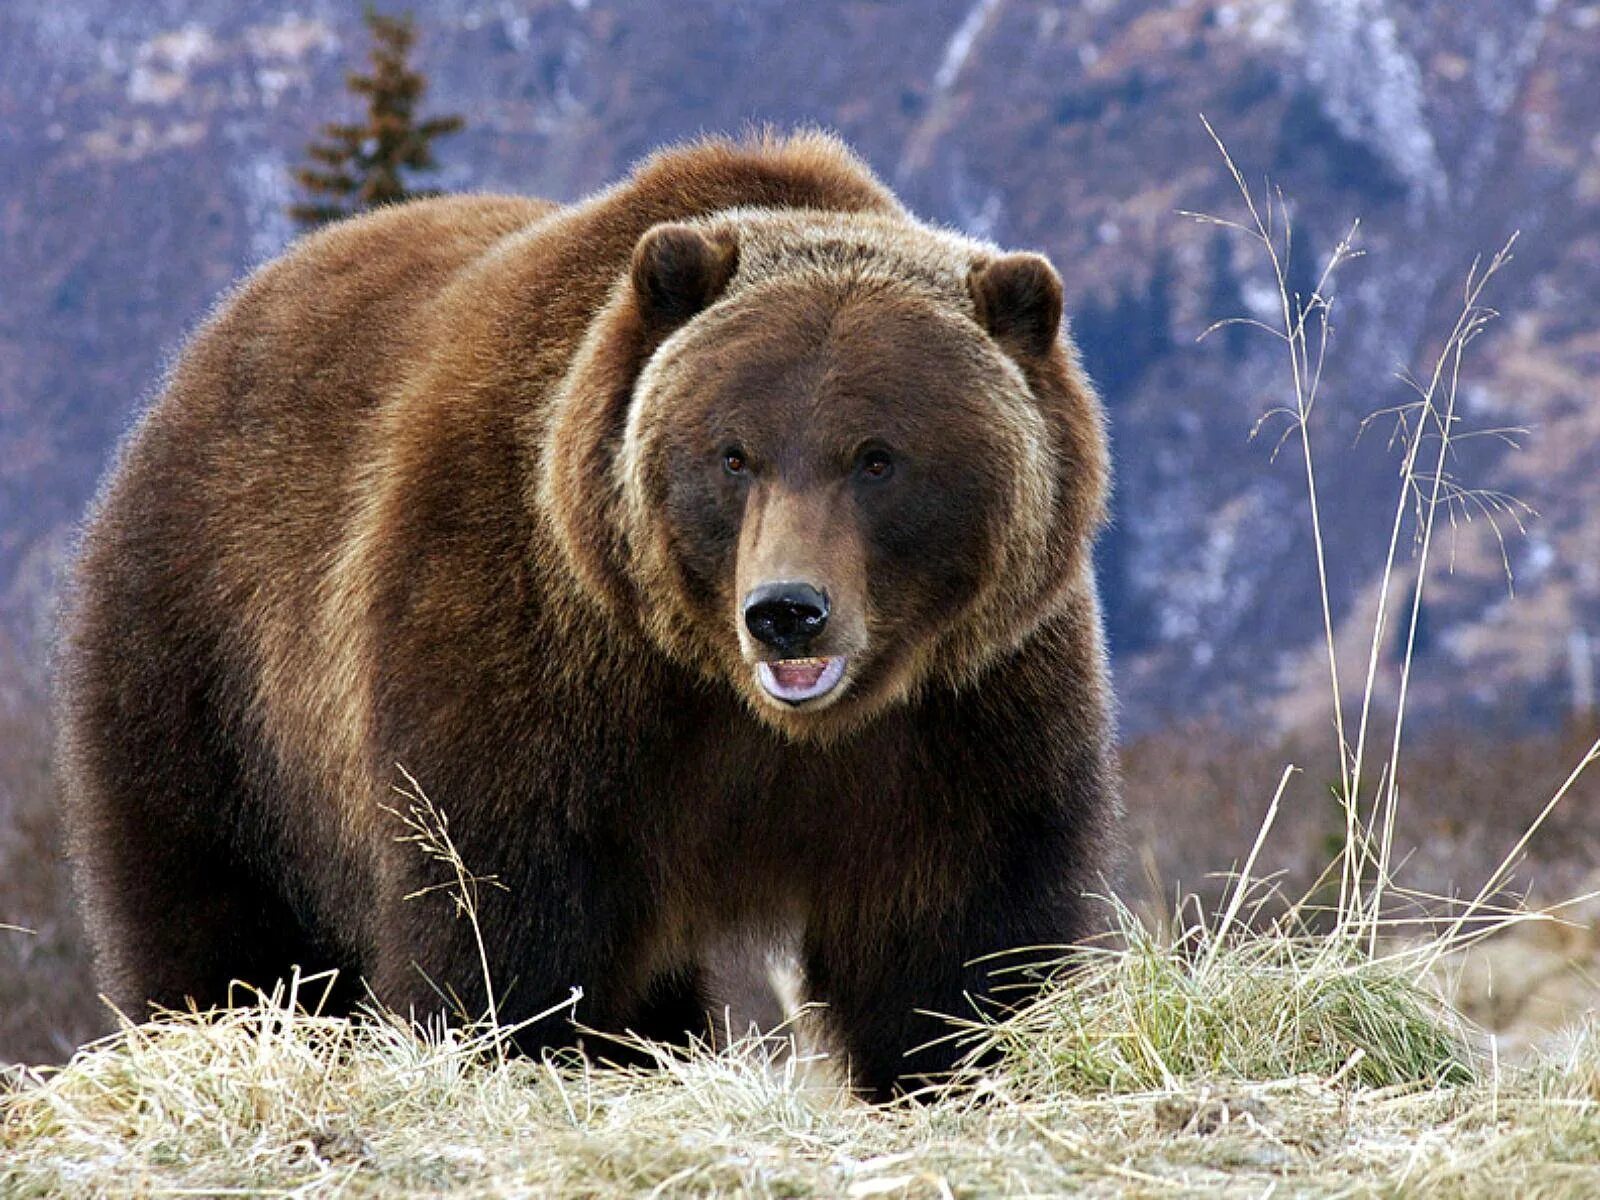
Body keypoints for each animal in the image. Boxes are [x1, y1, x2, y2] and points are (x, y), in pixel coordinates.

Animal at [56, 131, 1120, 1100]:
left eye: (877, 456)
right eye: (734, 453)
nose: (787, 613)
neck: (752, 714)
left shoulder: (961, 718)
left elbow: (958, 945)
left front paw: (960, 1064)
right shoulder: (536, 668)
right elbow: (503, 933)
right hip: (212, 666)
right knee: (216, 917)